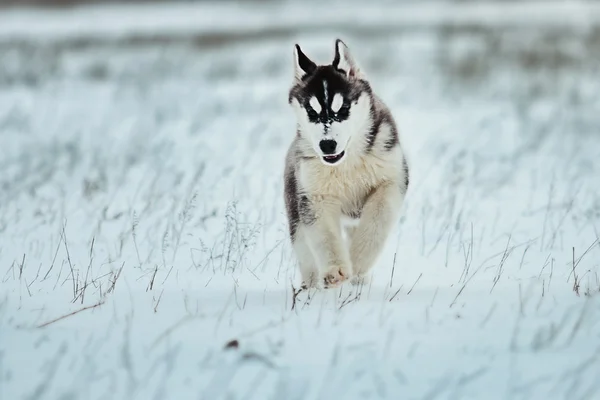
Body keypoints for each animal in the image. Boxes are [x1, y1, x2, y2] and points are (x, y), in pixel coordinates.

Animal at [284, 39, 408, 288]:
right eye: (311, 111)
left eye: (342, 109)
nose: (327, 145)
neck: (345, 163)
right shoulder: (315, 197)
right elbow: (325, 237)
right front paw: (336, 270)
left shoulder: (392, 180)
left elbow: (376, 222)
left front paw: (358, 261)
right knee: (306, 254)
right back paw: (311, 287)